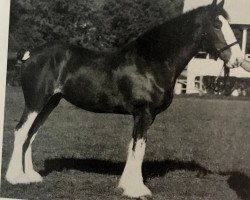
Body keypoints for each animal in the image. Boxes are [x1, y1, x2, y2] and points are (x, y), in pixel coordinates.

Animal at [5, 0, 244, 198]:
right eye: (217, 25)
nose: (238, 59)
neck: (151, 61)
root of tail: (31, 54)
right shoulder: (143, 113)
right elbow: (139, 149)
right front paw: (137, 190)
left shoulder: (143, 116)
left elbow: (133, 147)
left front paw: (125, 185)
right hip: (36, 101)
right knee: (21, 131)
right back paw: (15, 178)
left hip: (50, 102)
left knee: (32, 134)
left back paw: (31, 176)